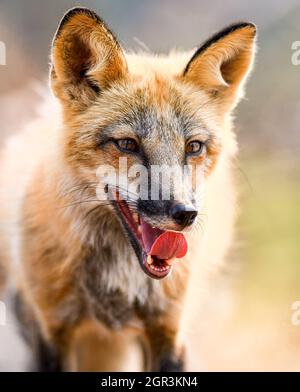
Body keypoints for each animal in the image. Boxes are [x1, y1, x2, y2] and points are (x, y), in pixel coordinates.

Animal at [0, 7, 256, 372]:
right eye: (127, 144)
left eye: (193, 147)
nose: (186, 214)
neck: (117, 283)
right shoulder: (52, 331)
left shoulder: (169, 332)